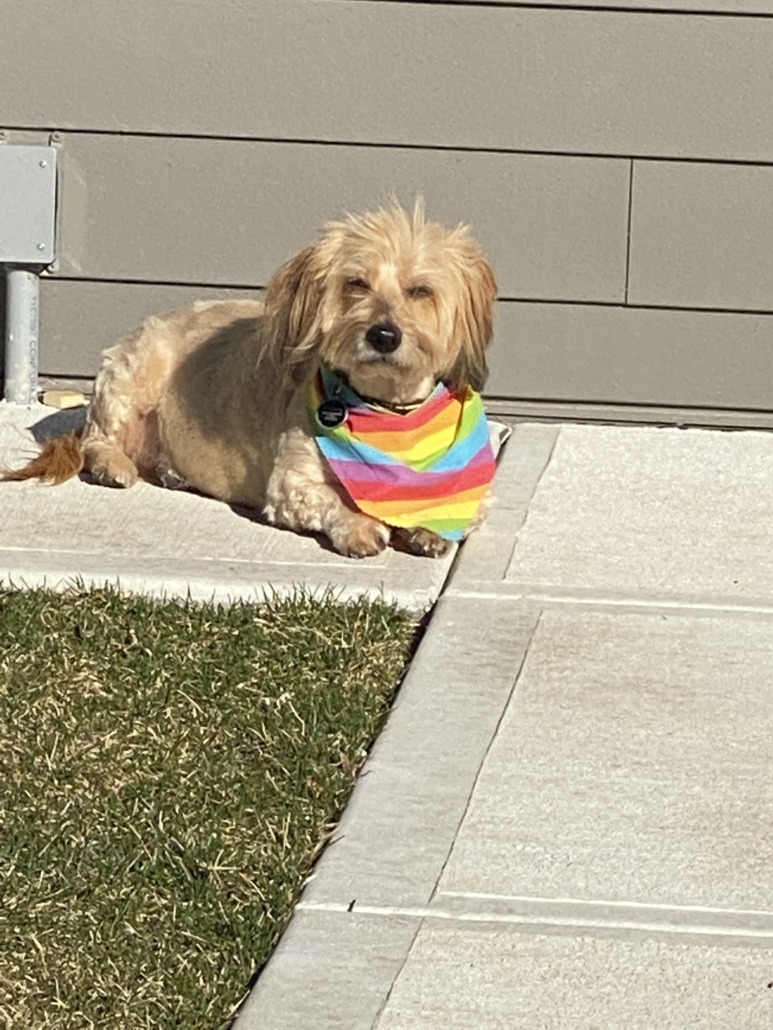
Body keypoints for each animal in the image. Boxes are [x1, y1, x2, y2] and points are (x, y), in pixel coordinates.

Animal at [4, 202, 497, 558]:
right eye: (356, 283)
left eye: (421, 291)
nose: (383, 334)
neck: (387, 409)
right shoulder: (291, 484)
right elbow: (329, 501)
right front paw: (360, 526)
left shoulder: (477, 492)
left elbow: (461, 511)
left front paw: (430, 530)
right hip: (134, 372)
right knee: (97, 438)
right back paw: (114, 465)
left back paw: (172, 471)